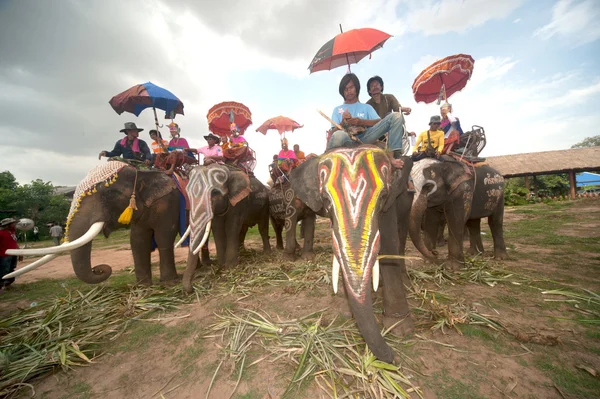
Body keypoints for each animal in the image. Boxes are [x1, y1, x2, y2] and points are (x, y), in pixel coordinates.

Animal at [4, 161, 186, 286]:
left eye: (110, 193)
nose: (99, 268)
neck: (142, 172)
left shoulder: (168, 203)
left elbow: (164, 237)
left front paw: (169, 283)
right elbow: (137, 241)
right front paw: (143, 287)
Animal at [180, 163, 270, 294]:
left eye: (214, 193)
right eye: (188, 194)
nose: (192, 289)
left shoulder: (239, 201)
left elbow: (231, 227)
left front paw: (231, 267)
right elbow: (218, 230)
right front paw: (221, 266)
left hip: (265, 205)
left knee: (262, 227)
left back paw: (266, 253)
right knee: (243, 230)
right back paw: (242, 252)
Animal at [290, 146, 412, 366]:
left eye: (383, 197)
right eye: (326, 201)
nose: (394, 357)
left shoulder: (391, 204)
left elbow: (389, 244)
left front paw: (399, 329)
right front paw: (350, 315)